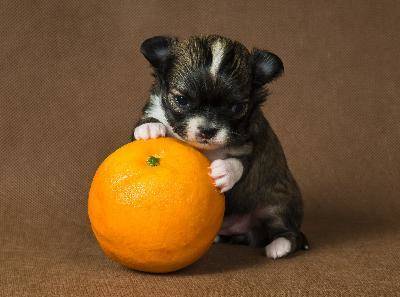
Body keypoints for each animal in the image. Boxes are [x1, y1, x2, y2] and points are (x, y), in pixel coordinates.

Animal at [133, 34, 308, 256]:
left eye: (237, 107)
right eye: (181, 100)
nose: (208, 130)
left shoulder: (251, 143)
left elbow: (240, 163)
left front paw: (225, 172)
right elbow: (149, 119)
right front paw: (148, 128)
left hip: (277, 207)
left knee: (289, 231)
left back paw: (279, 246)